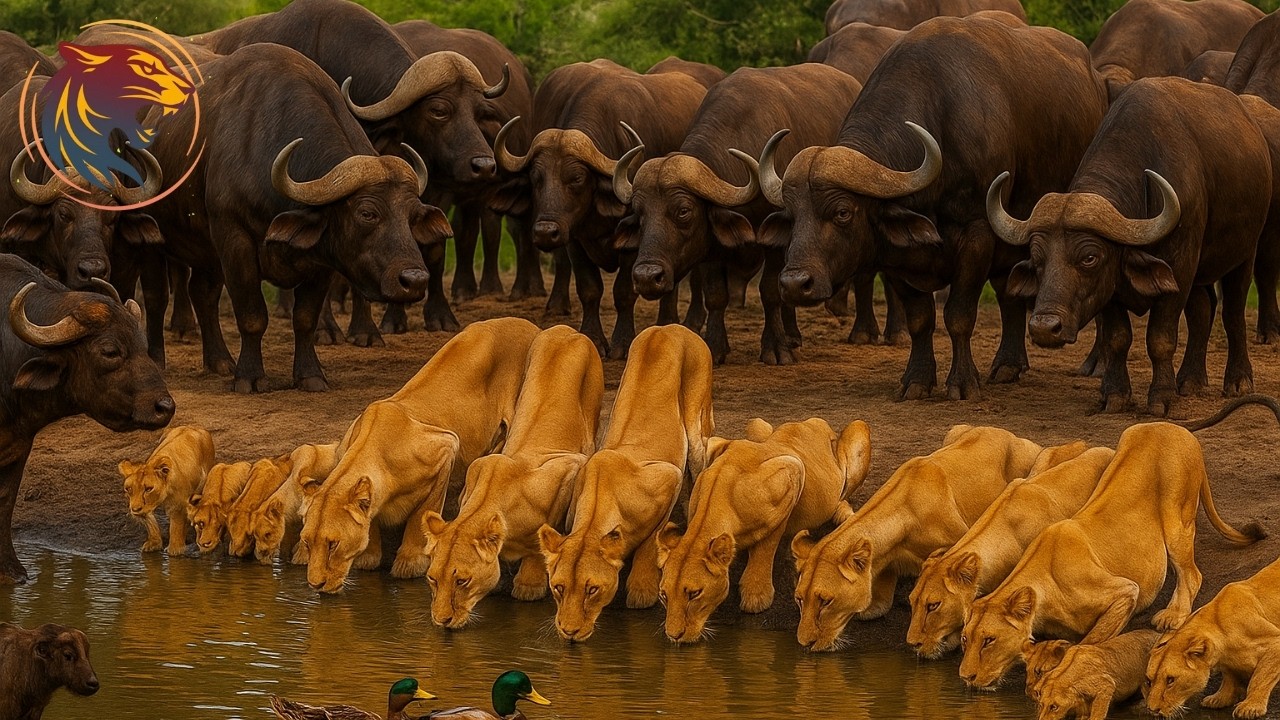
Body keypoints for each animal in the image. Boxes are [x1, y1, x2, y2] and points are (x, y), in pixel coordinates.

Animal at [756, 14, 1107, 400]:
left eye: (843, 212)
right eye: (792, 217)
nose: (794, 284)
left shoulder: (977, 233)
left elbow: (958, 316)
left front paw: (963, 382)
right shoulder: (899, 255)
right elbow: (920, 320)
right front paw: (917, 380)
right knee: (1009, 292)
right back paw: (1008, 365)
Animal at [988, 77, 1274, 415]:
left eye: (1089, 257)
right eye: (1037, 258)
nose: (1045, 328)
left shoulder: (1178, 269)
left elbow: (1160, 339)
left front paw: (1160, 397)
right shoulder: (1112, 287)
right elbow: (1117, 338)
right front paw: (1115, 395)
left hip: (1244, 252)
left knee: (1232, 312)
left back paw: (1238, 380)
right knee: (1202, 311)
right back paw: (1190, 380)